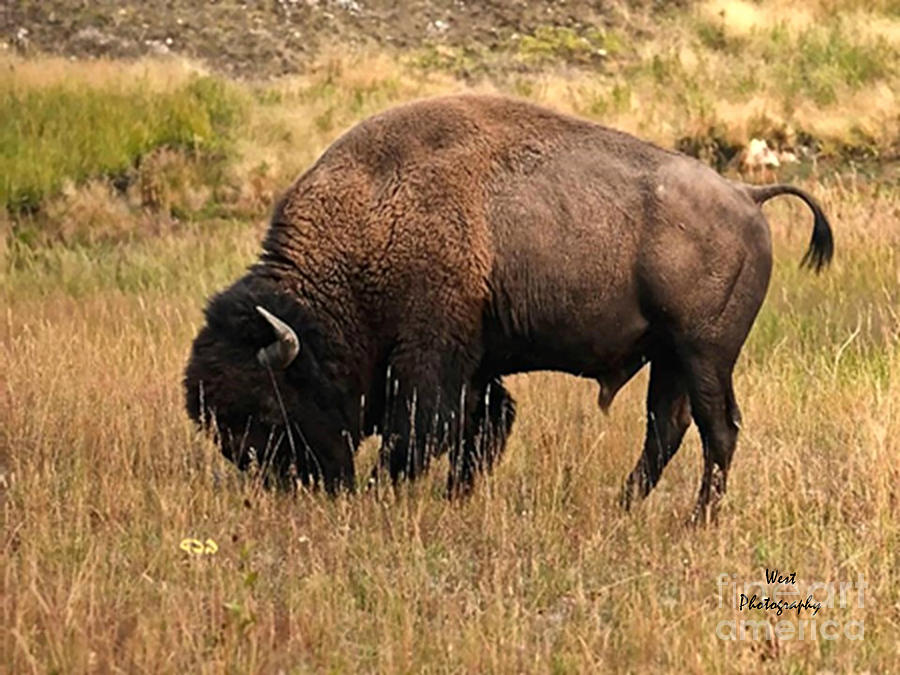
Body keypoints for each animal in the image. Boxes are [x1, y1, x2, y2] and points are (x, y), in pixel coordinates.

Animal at [185, 92, 836, 520]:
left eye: (268, 409)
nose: (282, 485)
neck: (368, 223)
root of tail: (746, 195)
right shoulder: (474, 364)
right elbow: (483, 426)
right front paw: (454, 494)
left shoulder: (430, 357)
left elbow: (423, 432)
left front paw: (392, 489)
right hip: (669, 357)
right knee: (667, 429)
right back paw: (621, 508)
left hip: (704, 354)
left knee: (716, 430)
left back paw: (697, 520)